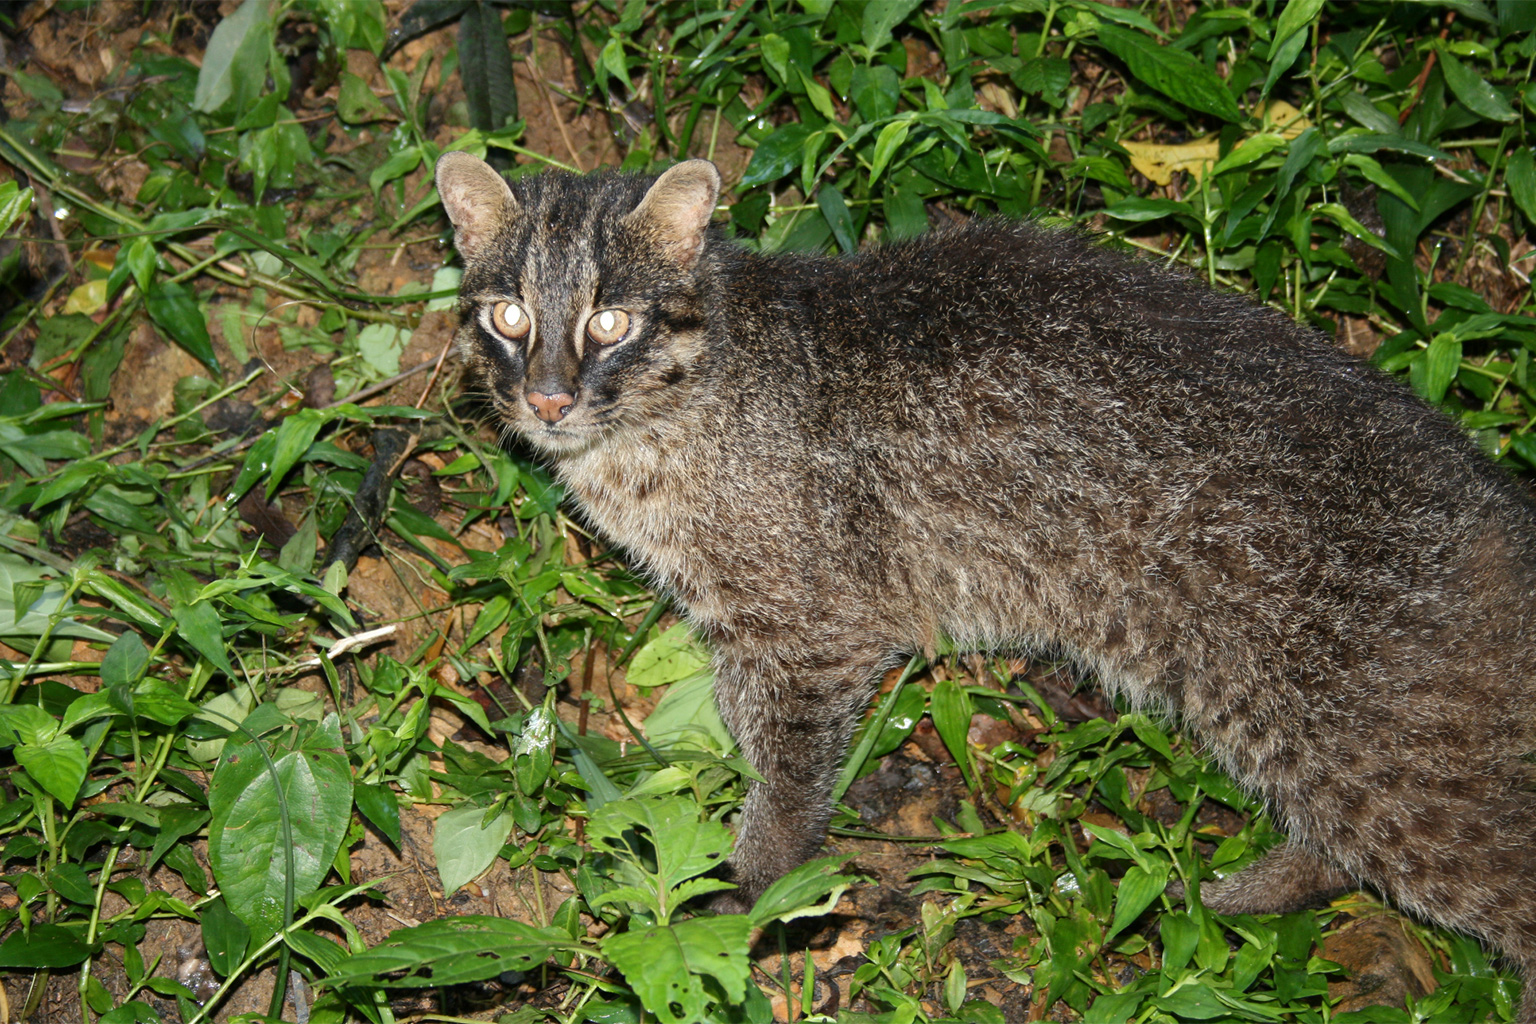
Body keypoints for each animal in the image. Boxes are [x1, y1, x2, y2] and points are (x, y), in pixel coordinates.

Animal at [433, 150, 1536, 1019]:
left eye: (611, 320)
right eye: (508, 314)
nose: (546, 397)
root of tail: (1496, 498)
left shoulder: (813, 626)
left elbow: (785, 775)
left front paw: (753, 885)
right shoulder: (749, 627)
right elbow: (748, 734)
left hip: (1377, 763)